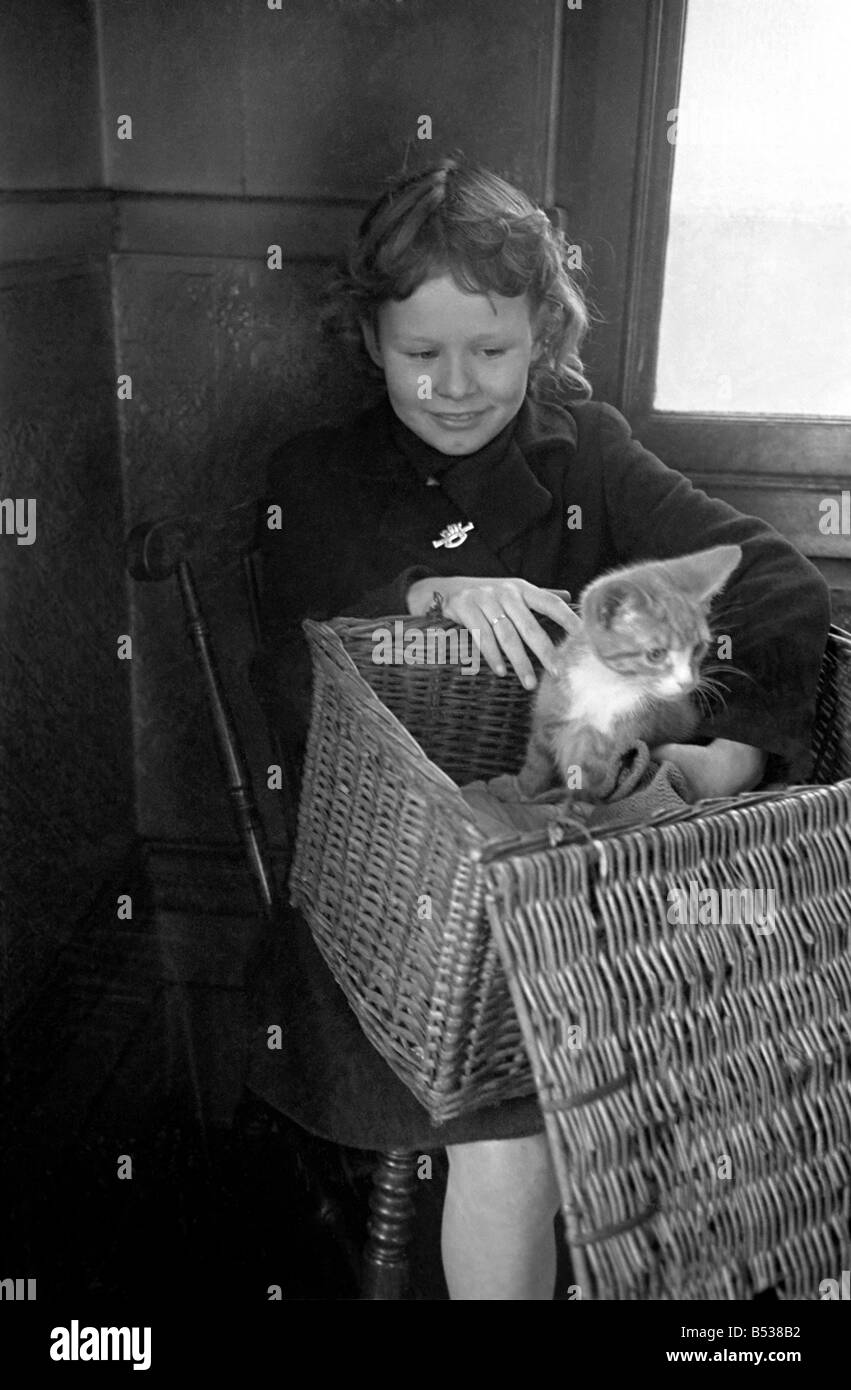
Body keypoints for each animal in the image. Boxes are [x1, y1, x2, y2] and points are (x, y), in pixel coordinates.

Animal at [514, 544, 739, 806]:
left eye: (698, 648)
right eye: (655, 654)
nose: (687, 683)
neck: (606, 682)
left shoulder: (615, 744)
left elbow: (590, 784)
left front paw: (572, 806)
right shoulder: (551, 712)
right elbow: (538, 761)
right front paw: (522, 793)